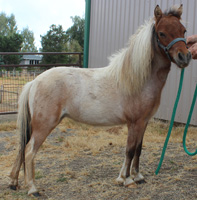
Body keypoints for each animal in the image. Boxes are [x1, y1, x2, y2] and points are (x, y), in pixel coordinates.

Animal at [9, 5, 191, 197]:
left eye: (183, 31)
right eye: (162, 33)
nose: (184, 57)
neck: (139, 80)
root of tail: (34, 82)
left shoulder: (144, 122)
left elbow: (138, 149)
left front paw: (137, 176)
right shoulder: (135, 123)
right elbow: (130, 150)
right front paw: (127, 180)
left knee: (22, 148)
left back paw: (13, 182)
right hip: (44, 125)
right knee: (29, 151)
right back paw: (33, 189)